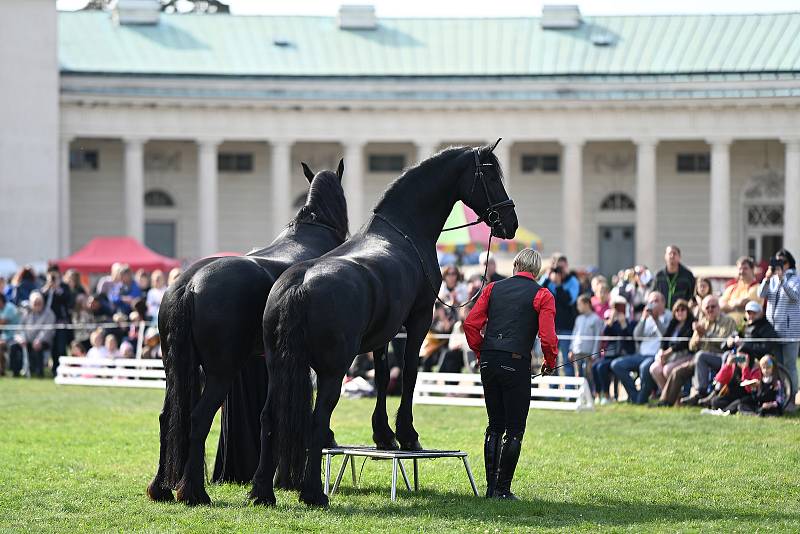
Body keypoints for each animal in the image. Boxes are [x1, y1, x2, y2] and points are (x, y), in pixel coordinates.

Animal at [147, 161, 346, 508]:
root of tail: (190, 285)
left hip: (176, 370)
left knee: (168, 417)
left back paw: (161, 487)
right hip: (219, 373)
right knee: (198, 419)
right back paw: (194, 492)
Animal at [250, 142, 520, 506]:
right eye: (491, 176)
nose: (510, 222)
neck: (402, 231)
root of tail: (299, 285)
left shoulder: (383, 332)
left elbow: (380, 376)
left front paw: (384, 436)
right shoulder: (418, 319)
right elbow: (408, 374)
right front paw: (407, 435)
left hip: (279, 368)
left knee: (269, 417)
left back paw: (262, 491)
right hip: (333, 371)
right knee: (318, 421)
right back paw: (313, 493)